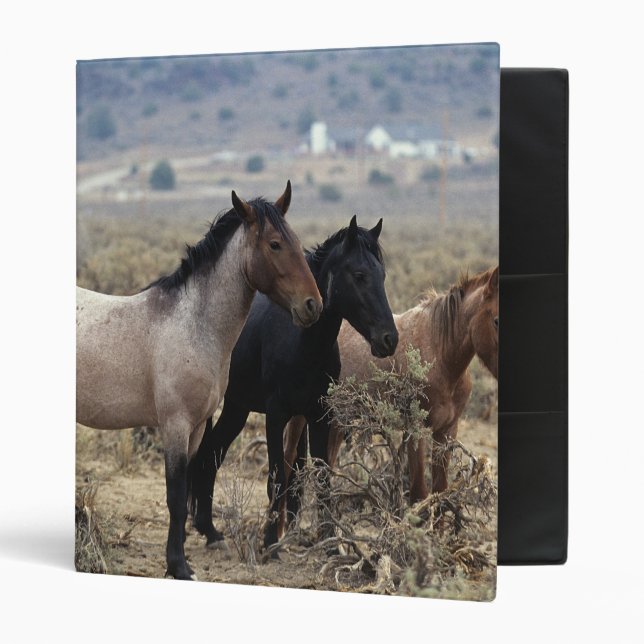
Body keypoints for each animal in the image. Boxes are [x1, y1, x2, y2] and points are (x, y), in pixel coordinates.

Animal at [76, 182, 323, 580]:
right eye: (274, 244)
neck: (193, 325)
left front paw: (185, 556)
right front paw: (178, 566)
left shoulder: (194, 430)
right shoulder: (175, 426)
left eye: (297, 241)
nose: (313, 305)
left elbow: (190, 484)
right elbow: (176, 496)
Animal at [188, 216, 398, 551]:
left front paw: (329, 542)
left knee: (211, 453)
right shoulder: (276, 415)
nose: (389, 339)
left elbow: (322, 476)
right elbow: (277, 477)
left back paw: (210, 531)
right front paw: (270, 542)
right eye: (359, 275)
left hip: (237, 408)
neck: (303, 343)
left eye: (383, 274)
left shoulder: (319, 415)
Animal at [283, 266, 498, 517]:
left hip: (335, 422)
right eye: (496, 320)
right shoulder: (416, 430)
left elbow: (440, 494)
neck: (440, 353)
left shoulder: (446, 432)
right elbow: (419, 495)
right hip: (300, 418)